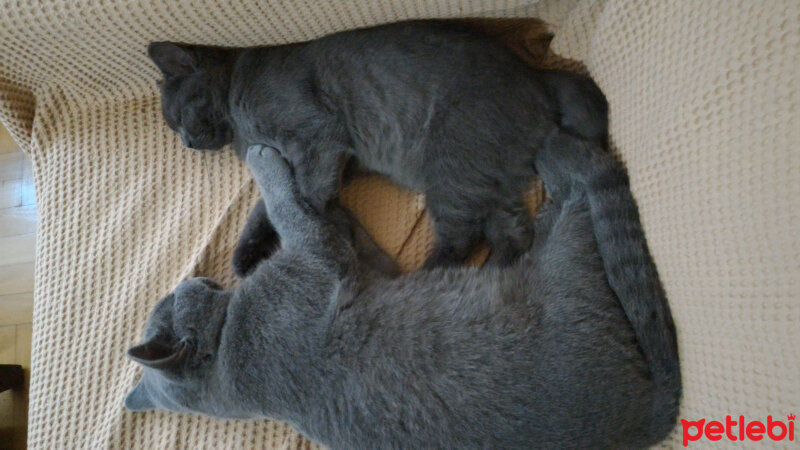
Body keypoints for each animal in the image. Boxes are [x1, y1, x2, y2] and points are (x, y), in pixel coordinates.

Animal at [125, 132, 680, 448]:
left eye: (168, 297)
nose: (192, 277)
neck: (225, 355)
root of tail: (651, 415)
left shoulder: (370, 267)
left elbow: (325, 219)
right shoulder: (315, 261)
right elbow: (290, 208)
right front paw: (267, 161)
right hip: (570, 254)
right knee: (584, 188)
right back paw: (559, 159)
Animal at [147, 20, 608, 274]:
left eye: (177, 117)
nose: (187, 142)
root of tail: (537, 74)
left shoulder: (316, 140)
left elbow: (299, 203)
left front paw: (312, 241)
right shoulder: (297, 159)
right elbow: (265, 207)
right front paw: (247, 255)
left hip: (452, 166)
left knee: (462, 237)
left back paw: (422, 281)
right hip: (489, 175)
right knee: (514, 233)